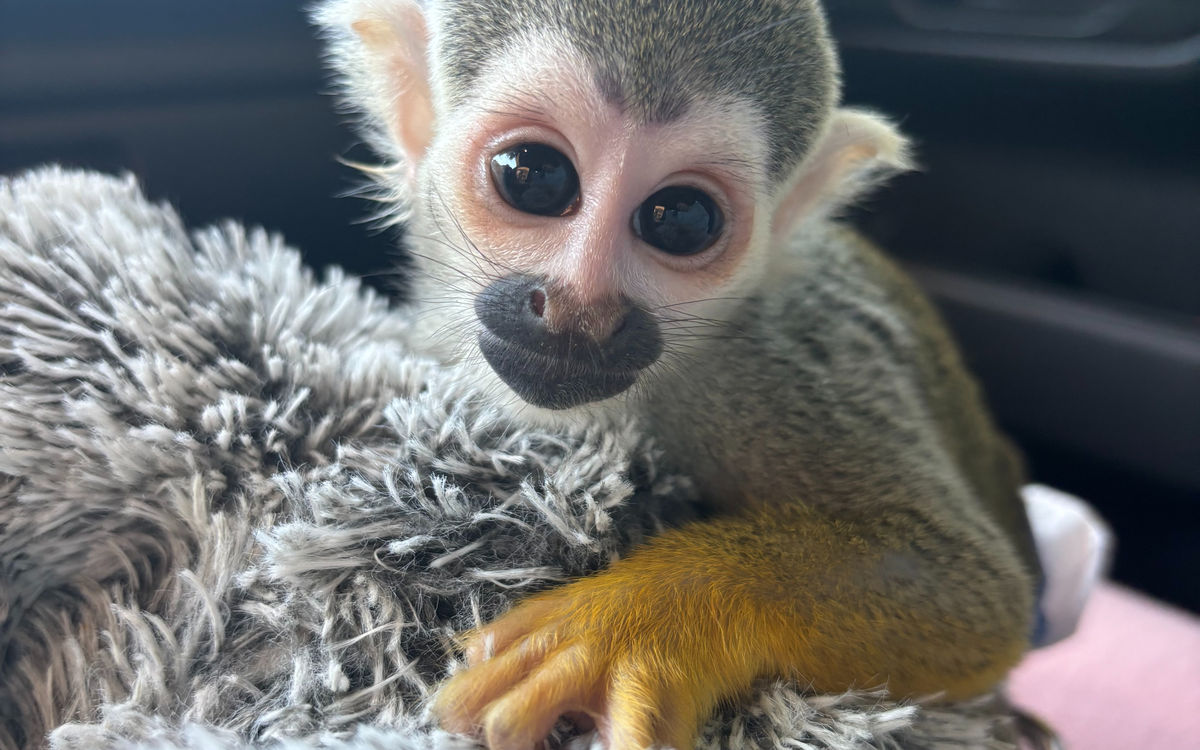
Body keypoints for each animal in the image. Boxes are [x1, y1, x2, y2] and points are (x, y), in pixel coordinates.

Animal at [313, 1, 1043, 749]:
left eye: (681, 218)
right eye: (534, 175)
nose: (581, 308)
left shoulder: (771, 372)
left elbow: (978, 592)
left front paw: (641, 620)